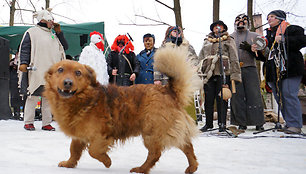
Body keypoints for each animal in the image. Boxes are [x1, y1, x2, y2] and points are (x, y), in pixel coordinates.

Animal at [43, 45, 201, 173]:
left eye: (78, 73)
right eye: (60, 70)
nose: (67, 83)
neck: (85, 99)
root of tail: (168, 90)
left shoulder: (102, 134)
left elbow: (93, 151)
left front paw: (107, 161)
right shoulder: (79, 134)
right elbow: (74, 150)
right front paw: (69, 163)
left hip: (152, 131)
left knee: (155, 154)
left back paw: (141, 169)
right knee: (187, 146)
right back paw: (192, 167)